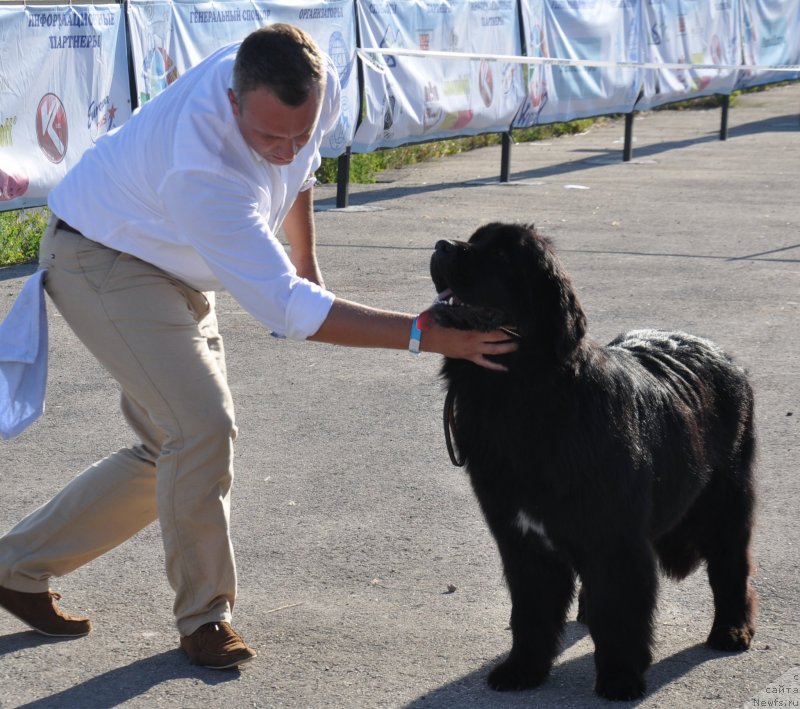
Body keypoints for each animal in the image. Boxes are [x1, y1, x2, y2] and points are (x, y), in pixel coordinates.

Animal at [428, 224, 752, 700]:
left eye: (502, 255)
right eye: (474, 238)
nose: (441, 245)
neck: (521, 397)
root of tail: (722, 354)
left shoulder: (614, 540)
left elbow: (620, 612)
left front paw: (620, 678)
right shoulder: (522, 541)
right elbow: (531, 613)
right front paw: (522, 670)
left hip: (726, 500)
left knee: (732, 566)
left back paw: (732, 631)